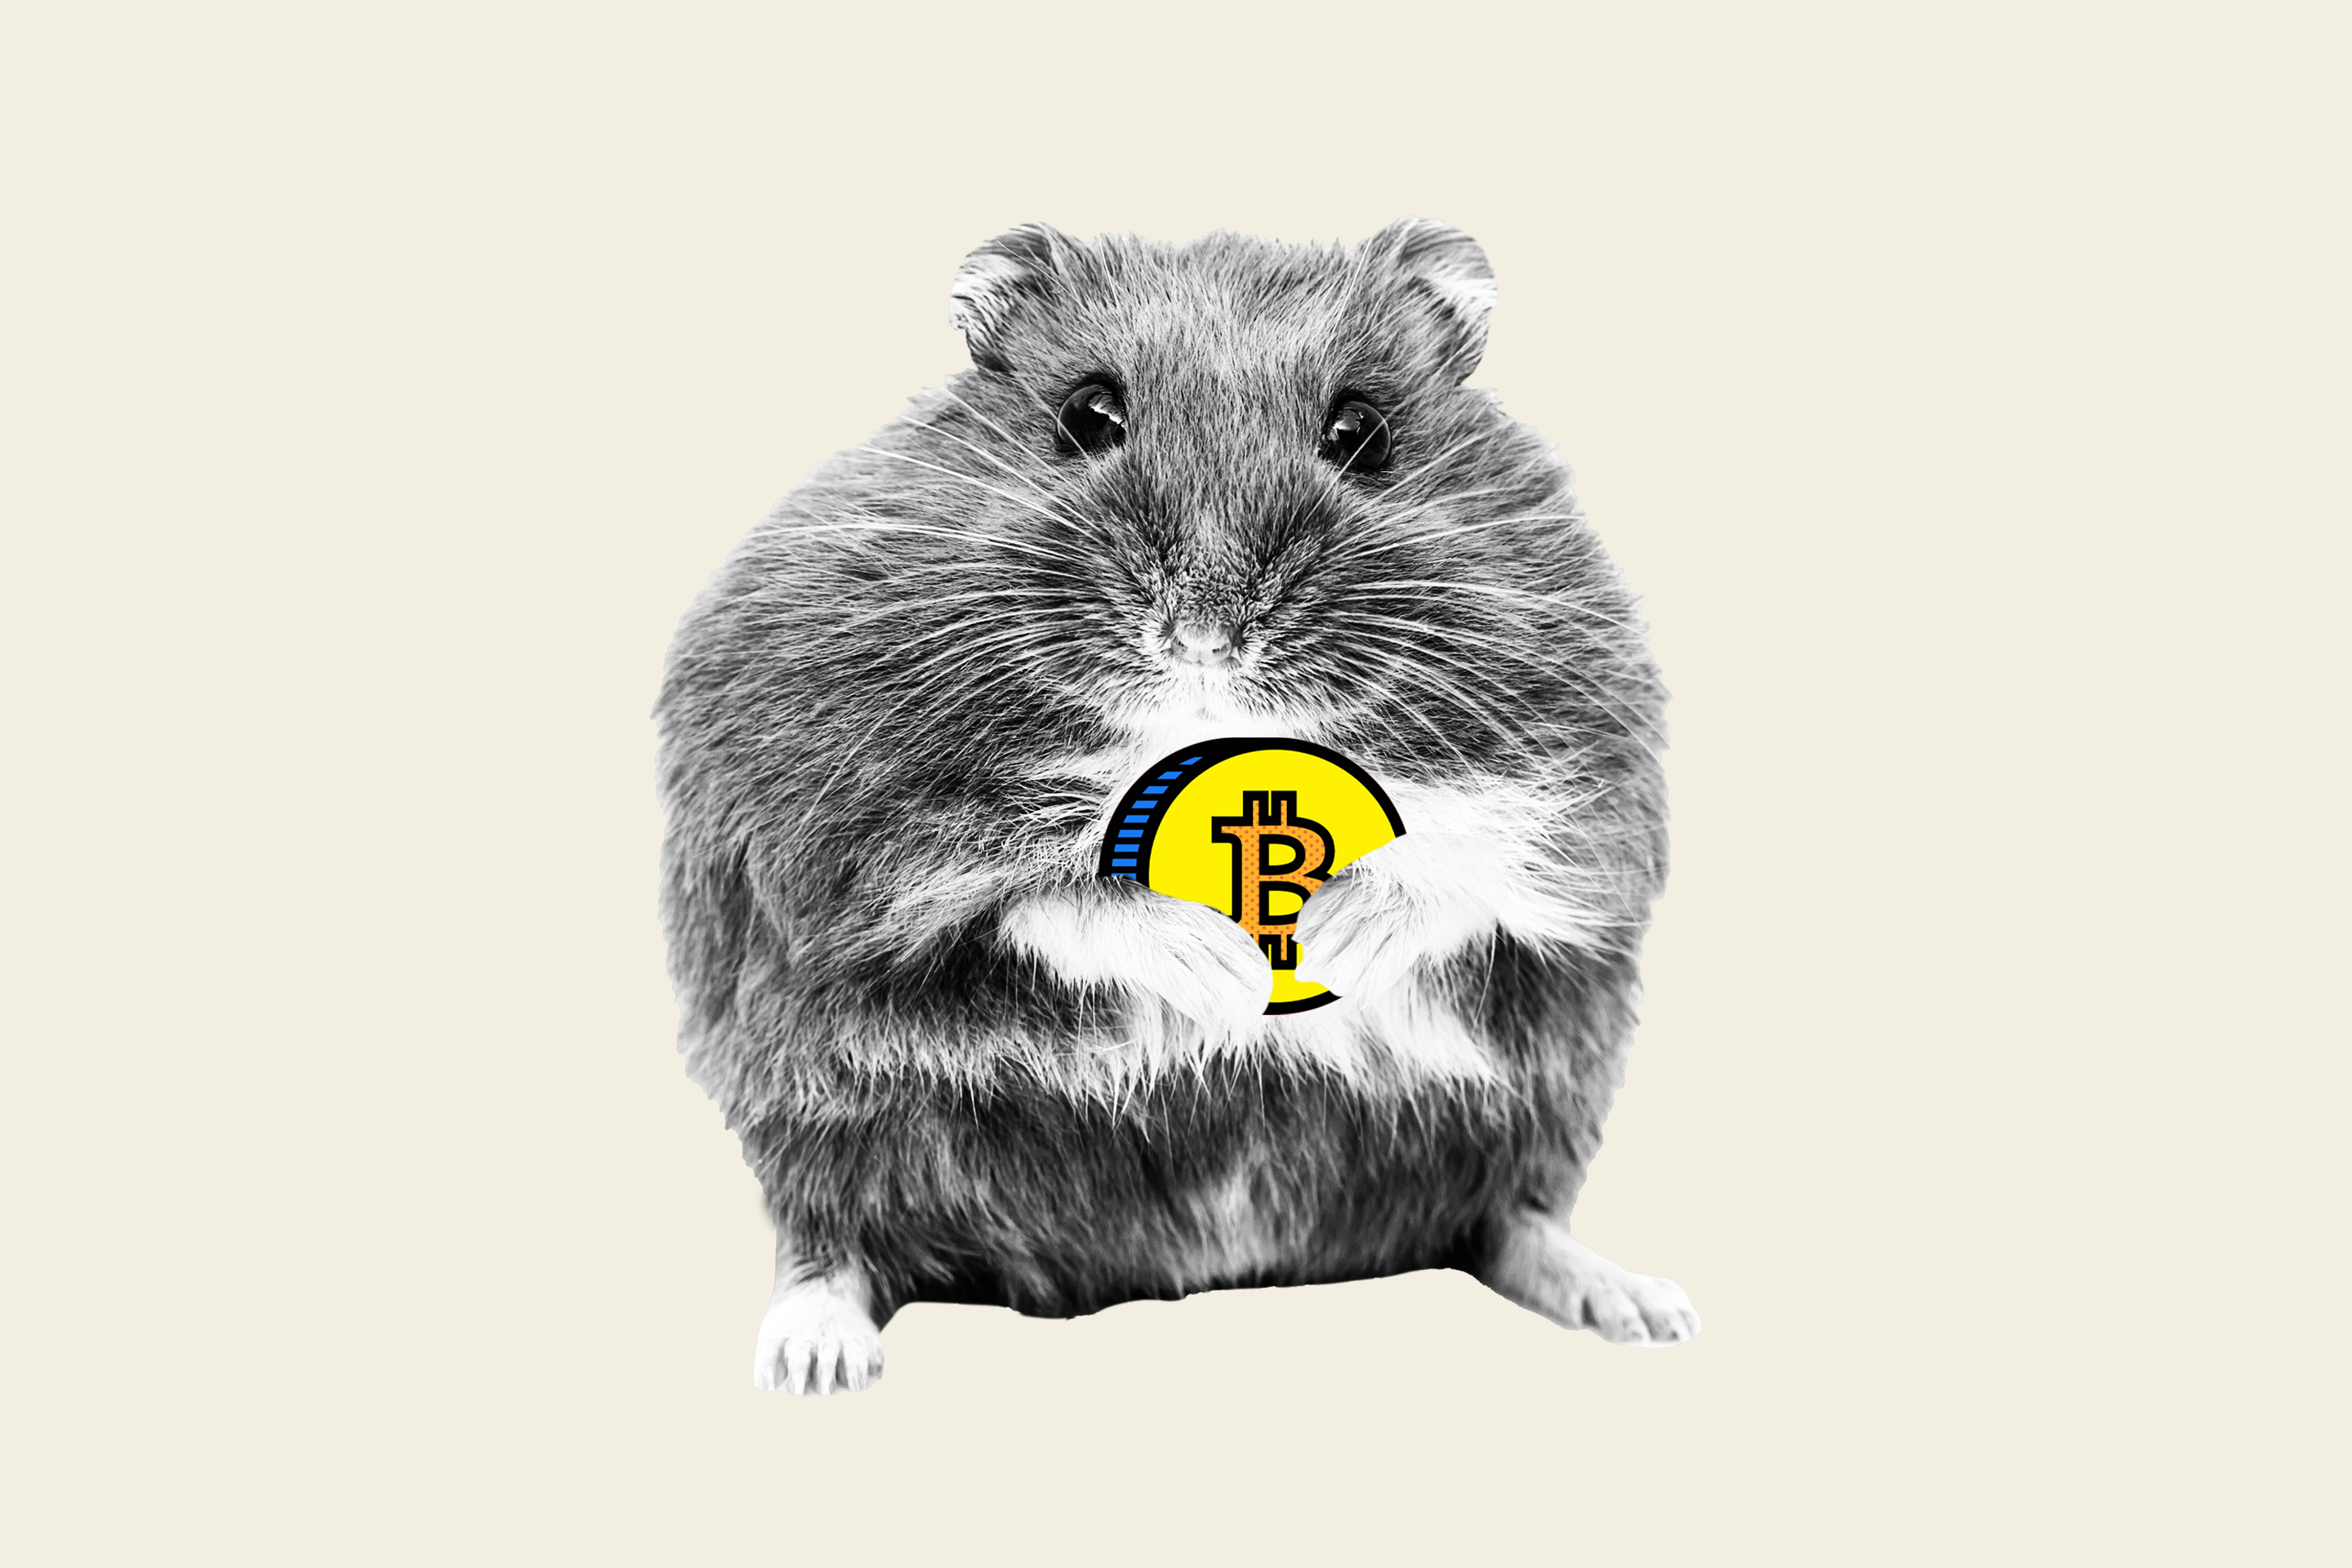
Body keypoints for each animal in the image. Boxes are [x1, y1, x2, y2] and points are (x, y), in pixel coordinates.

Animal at [655, 219, 1699, 1394]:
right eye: (1086, 416)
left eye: (1363, 432)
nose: (1204, 636)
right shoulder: (821, 805)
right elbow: (1041, 895)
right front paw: (1222, 968)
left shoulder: (1604, 782)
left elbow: (1492, 868)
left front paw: (1334, 931)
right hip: (814, 1110)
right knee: (831, 1238)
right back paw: (816, 1357)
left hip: (1544, 1099)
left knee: (1507, 1216)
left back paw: (1639, 1305)